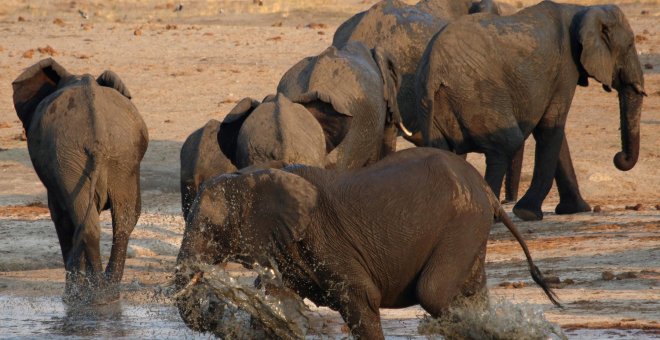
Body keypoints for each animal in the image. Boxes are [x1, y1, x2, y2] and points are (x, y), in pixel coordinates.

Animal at [12, 57, 148, 302]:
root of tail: (98, 133)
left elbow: (60, 217)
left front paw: (74, 293)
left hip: (67, 158)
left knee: (85, 223)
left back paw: (89, 294)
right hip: (122, 156)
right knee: (123, 220)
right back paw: (108, 292)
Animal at [174, 147, 556, 338]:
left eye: (209, 229)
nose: (213, 306)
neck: (256, 174)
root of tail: (486, 189)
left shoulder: (327, 242)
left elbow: (362, 299)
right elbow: (273, 308)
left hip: (462, 222)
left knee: (433, 293)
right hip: (470, 227)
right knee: (471, 291)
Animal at [416, 1, 648, 220]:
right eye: (629, 44)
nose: (619, 157)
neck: (582, 10)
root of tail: (434, 67)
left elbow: (553, 131)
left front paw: (576, 209)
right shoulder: (566, 68)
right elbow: (551, 126)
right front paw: (527, 213)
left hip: (437, 103)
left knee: (445, 151)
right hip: (477, 93)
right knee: (505, 145)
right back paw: (492, 215)